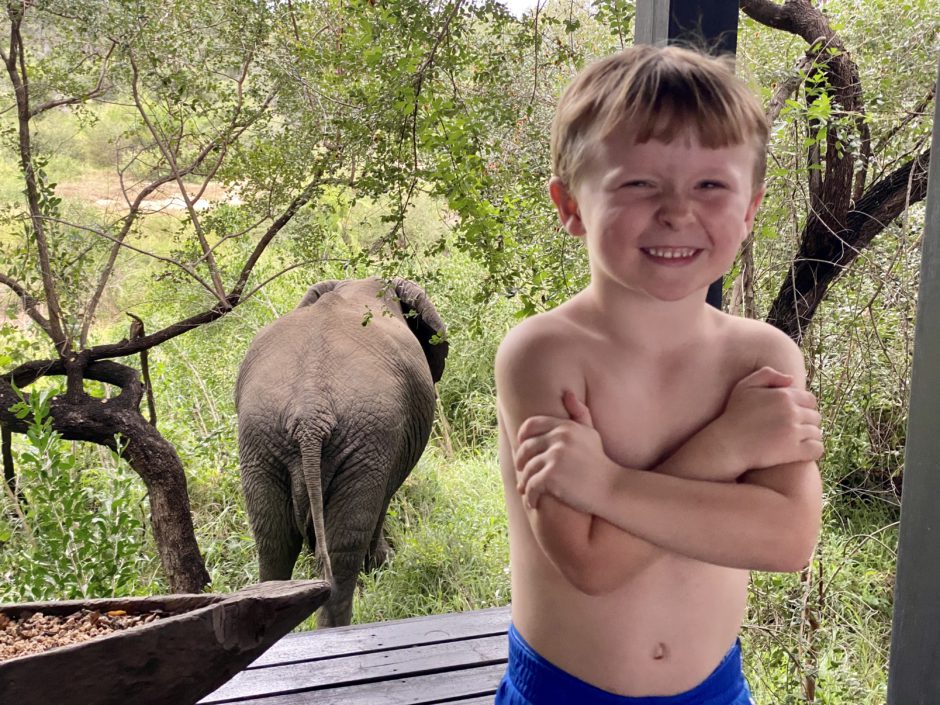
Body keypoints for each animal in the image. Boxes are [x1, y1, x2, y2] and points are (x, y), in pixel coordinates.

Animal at [239, 278, 452, 624]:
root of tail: (310, 414)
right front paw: (381, 565)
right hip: (363, 438)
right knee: (343, 547)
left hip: (260, 442)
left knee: (273, 540)